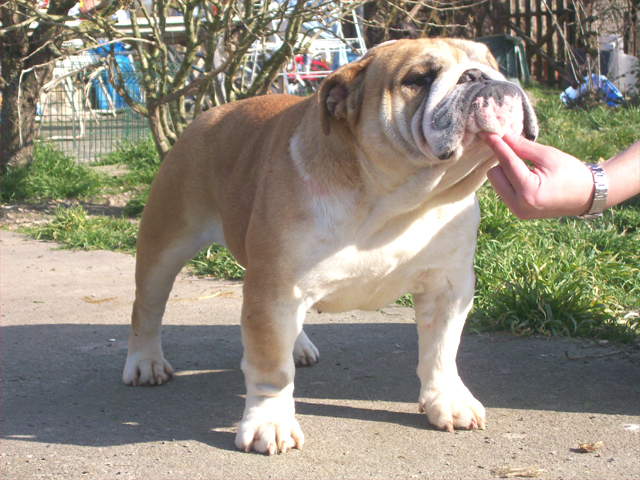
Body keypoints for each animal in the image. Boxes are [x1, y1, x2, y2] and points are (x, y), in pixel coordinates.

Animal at [123, 38, 538, 455]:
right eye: (418, 79)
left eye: (494, 64)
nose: (483, 78)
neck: (395, 200)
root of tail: (207, 115)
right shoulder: (274, 290)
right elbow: (272, 369)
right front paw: (269, 422)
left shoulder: (448, 289)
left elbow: (441, 351)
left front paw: (447, 400)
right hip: (166, 240)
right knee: (148, 307)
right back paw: (145, 362)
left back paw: (299, 345)